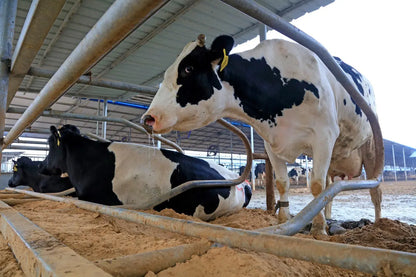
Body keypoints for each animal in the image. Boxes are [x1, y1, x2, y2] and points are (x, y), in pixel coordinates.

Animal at [141, 34, 382, 233]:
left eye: (188, 69)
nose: (148, 118)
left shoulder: (324, 136)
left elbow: (316, 186)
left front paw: (318, 229)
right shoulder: (272, 143)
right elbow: (282, 183)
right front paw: (283, 220)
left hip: (370, 148)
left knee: (374, 191)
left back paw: (379, 223)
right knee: (331, 189)